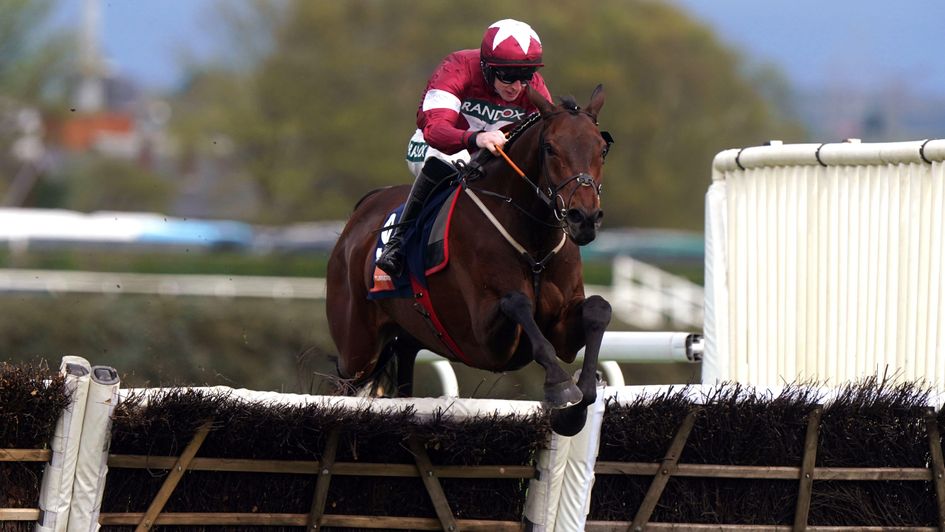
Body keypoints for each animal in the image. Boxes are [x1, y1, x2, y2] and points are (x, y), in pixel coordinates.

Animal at [324, 86, 612, 436]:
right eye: (550, 148)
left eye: (601, 149)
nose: (584, 218)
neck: (534, 241)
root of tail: (361, 212)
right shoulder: (485, 340)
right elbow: (517, 303)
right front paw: (560, 386)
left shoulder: (561, 325)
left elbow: (598, 309)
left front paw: (579, 402)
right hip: (357, 349)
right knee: (343, 385)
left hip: (404, 338)